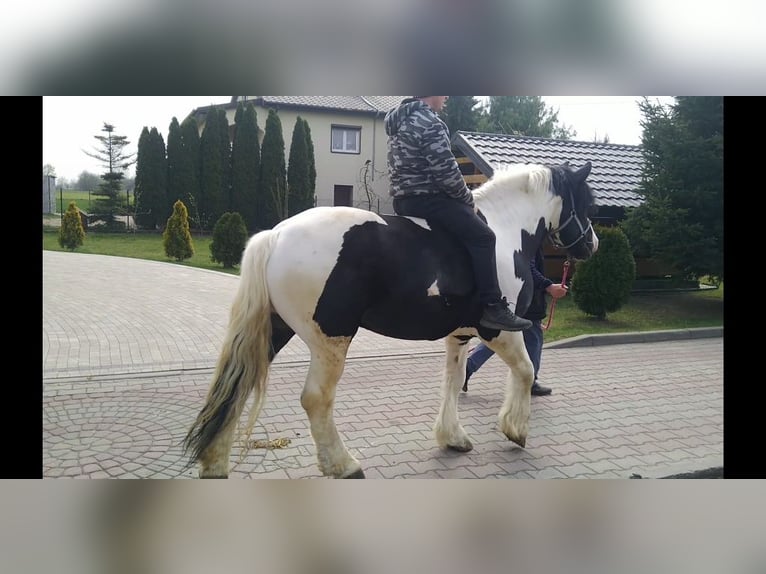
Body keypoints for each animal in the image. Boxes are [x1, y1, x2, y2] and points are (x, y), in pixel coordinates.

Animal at [183, 161, 598, 478]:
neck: (504, 229)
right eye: (588, 201)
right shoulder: (498, 331)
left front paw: (453, 437)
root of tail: (277, 234)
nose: (592, 245)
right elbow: (525, 371)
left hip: (274, 331)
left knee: (236, 388)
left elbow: (453, 381)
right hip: (331, 339)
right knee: (316, 399)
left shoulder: (458, 336)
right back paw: (344, 465)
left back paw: (215, 464)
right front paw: (515, 429)